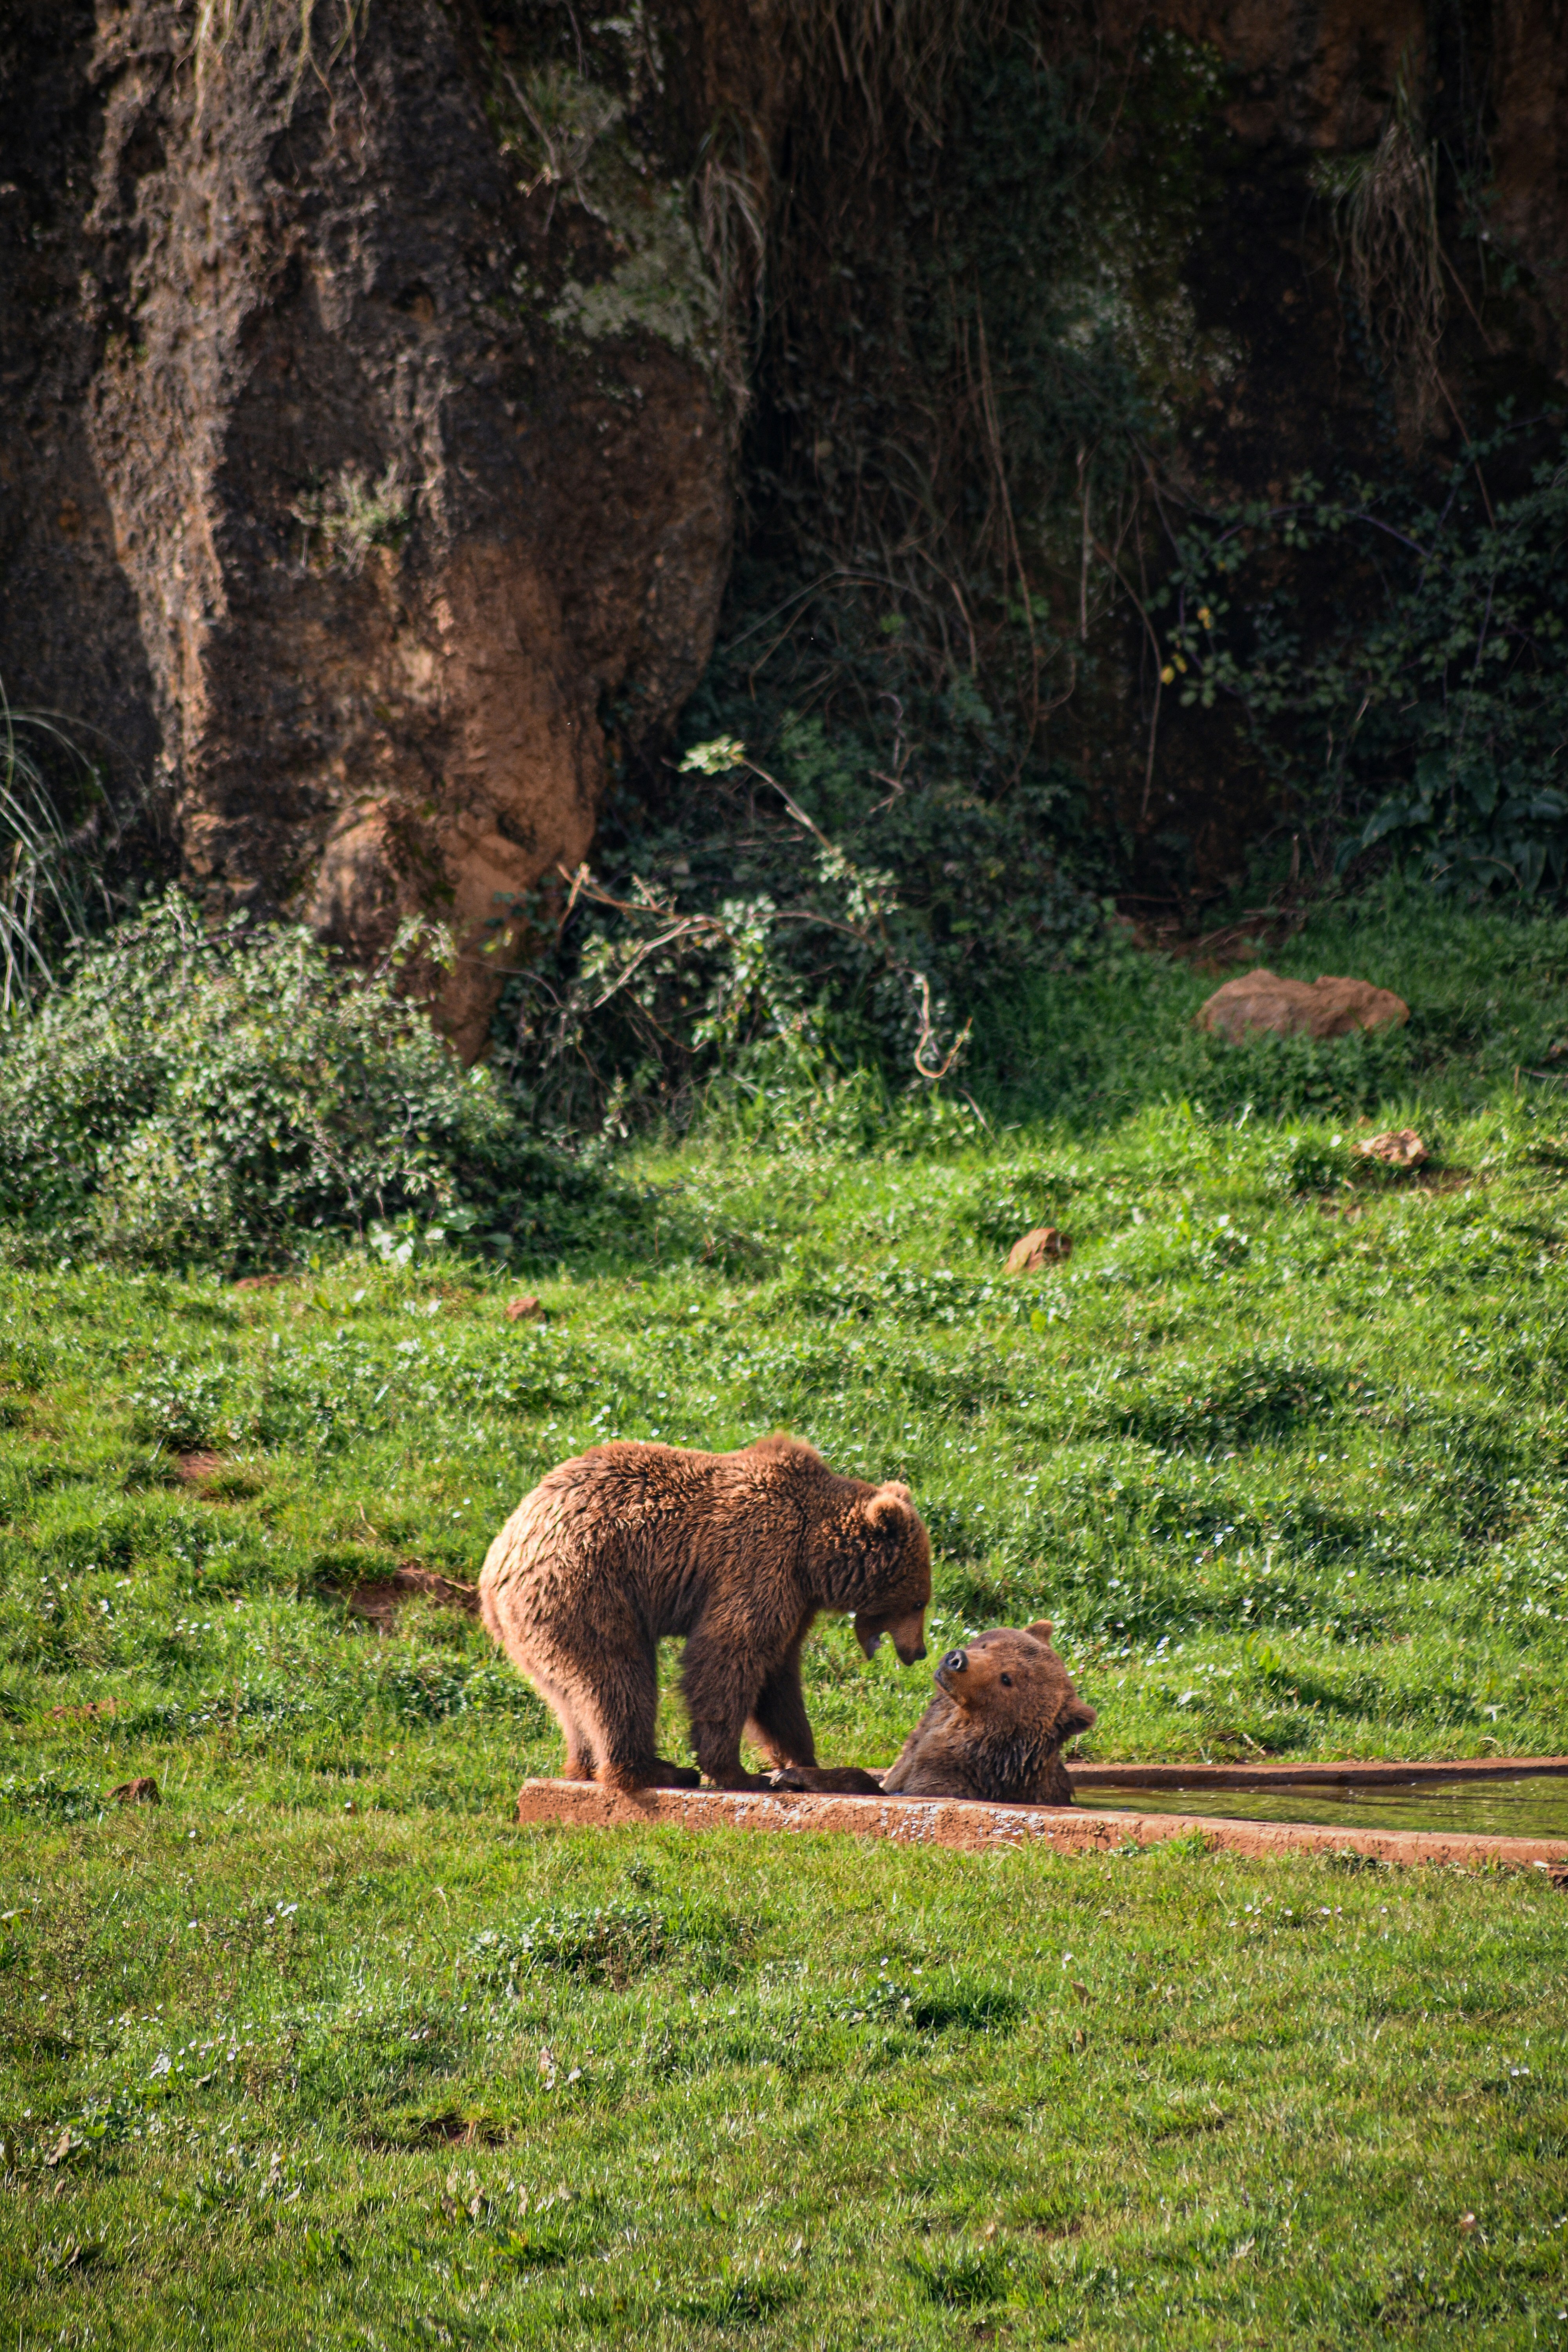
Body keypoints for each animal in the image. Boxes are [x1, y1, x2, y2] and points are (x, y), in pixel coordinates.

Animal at [478, 1433, 932, 1792]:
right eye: (919, 1602)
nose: (920, 1652)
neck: (813, 1555)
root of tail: (500, 1551)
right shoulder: (759, 1561)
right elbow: (727, 1657)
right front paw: (739, 1773)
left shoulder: (795, 1599)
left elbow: (778, 1680)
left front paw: (803, 1762)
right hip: (585, 1589)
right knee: (616, 1677)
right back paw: (652, 1770)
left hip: (538, 1624)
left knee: (569, 1696)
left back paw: (588, 1766)